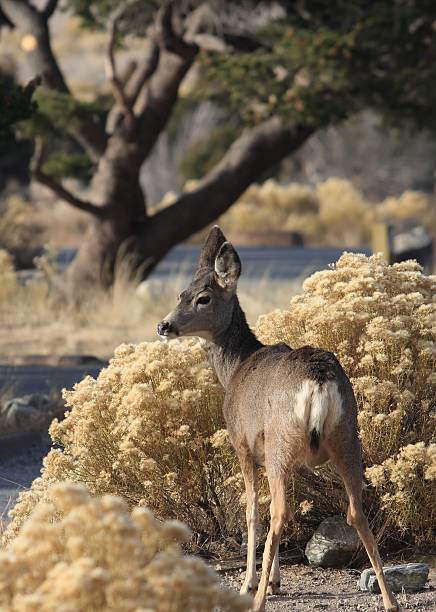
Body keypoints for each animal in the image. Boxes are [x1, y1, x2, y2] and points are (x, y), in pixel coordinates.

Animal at [158, 227, 400, 608]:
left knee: (279, 512)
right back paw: (390, 600)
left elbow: (252, 512)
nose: (163, 325)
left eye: (203, 299)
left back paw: (255, 598)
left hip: (280, 441)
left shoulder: (242, 444)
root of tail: (318, 380)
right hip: (347, 435)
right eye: (181, 293)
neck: (235, 368)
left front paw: (255, 582)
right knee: (354, 511)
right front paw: (274, 581)